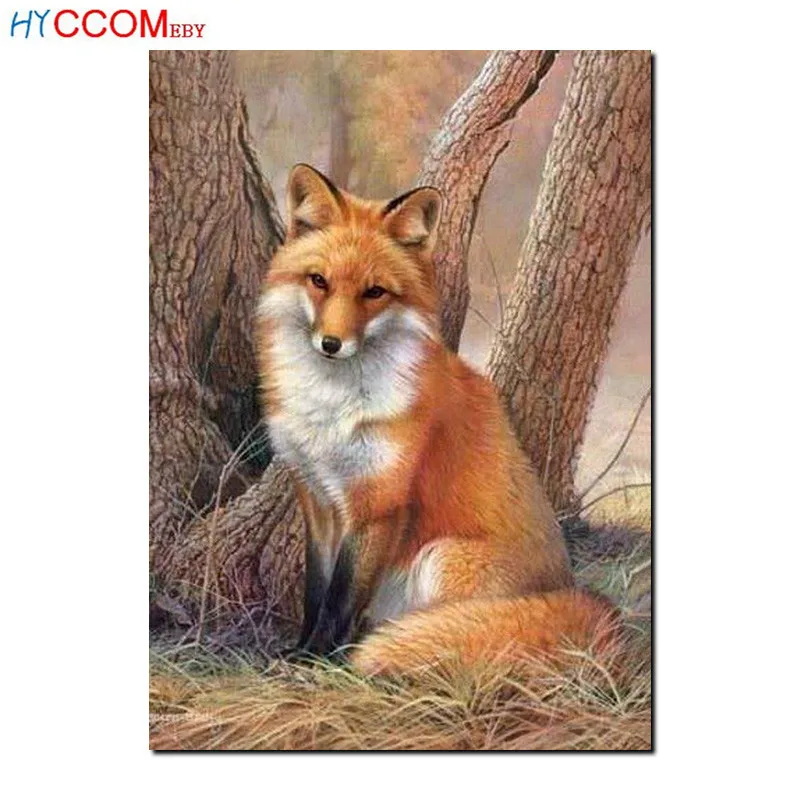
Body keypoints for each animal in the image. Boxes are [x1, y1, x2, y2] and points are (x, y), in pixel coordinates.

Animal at [255, 164, 619, 676]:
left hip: (439, 558)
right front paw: (301, 649)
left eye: (374, 292)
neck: (332, 408)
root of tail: (571, 590)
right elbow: (316, 592)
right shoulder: (318, 500)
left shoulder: (378, 504)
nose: (330, 344)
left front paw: (318, 661)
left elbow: (340, 599)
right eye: (318, 281)